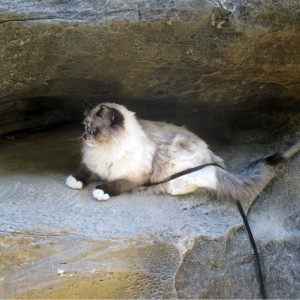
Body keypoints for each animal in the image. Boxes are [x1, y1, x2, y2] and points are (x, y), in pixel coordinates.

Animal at [66, 102, 300, 202]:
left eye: (93, 130)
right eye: (85, 127)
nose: (84, 137)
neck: (107, 150)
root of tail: (211, 156)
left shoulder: (135, 175)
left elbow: (116, 184)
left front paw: (101, 191)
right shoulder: (92, 165)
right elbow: (83, 173)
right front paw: (74, 181)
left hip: (169, 155)